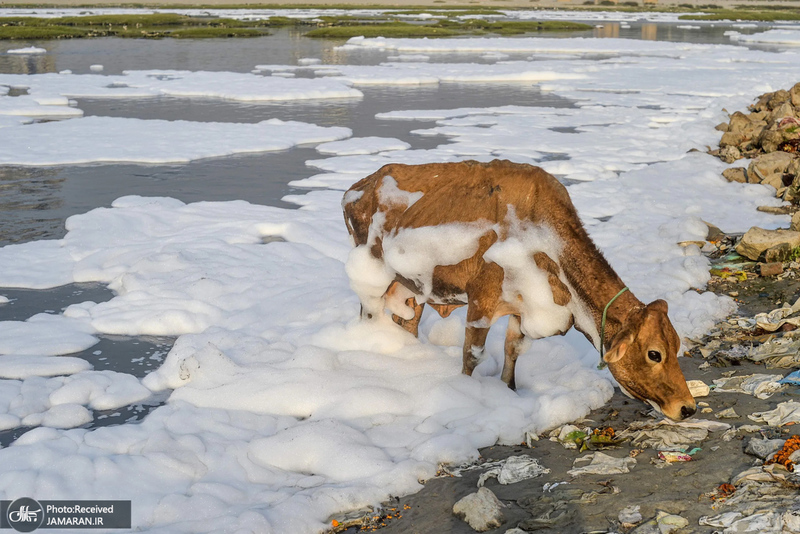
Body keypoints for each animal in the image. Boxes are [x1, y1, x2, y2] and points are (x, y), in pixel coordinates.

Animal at [340, 159, 696, 422]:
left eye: (677, 344)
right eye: (654, 353)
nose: (687, 407)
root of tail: (361, 186)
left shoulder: (522, 308)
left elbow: (512, 349)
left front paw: (510, 392)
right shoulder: (481, 300)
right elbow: (471, 356)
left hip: (410, 288)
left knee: (408, 323)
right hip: (372, 276)